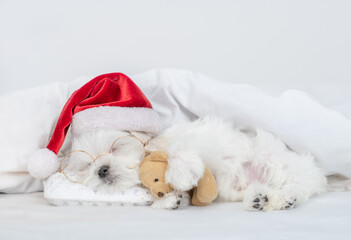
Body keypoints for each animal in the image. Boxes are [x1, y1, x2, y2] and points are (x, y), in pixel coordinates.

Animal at [65, 117, 328, 211]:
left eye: (115, 148)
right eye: (86, 165)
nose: (102, 169)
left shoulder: (186, 141)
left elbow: (177, 152)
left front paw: (180, 176)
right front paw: (170, 200)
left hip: (275, 162)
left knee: (298, 184)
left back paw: (283, 198)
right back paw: (259, 198)